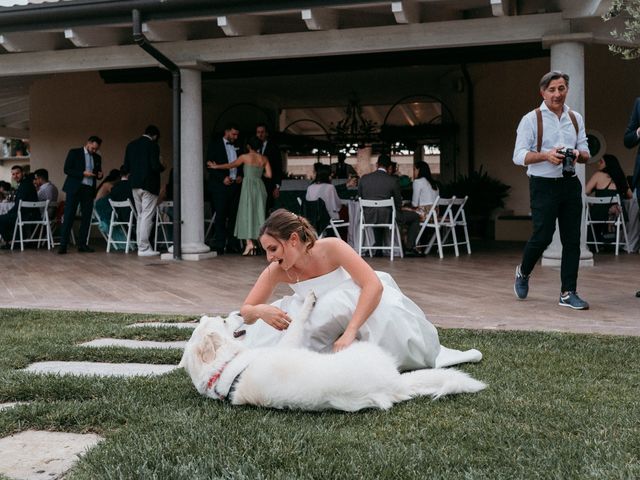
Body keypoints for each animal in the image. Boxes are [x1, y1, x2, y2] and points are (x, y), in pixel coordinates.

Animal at [180, 292, 484, 412]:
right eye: (223, 322)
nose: (238, 313)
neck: (225, 368)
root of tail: (394, 384)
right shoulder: (289, 343)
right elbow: (298, 323)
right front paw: (310, 301)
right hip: (365, 347)